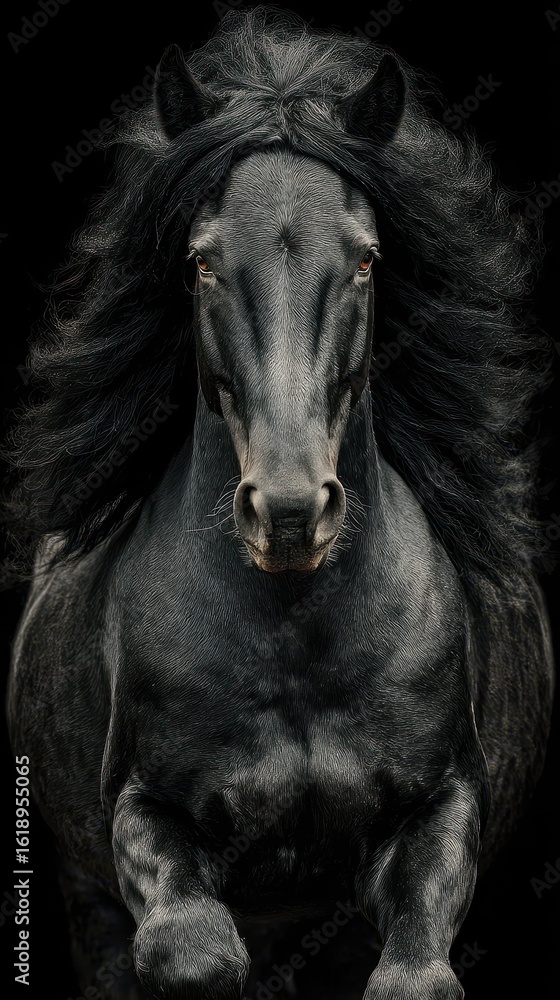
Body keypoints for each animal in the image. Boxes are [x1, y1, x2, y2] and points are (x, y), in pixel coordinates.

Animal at [6, 9, 555, 1000]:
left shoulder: (442, 809)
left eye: (368, 258)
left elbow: (412, 977)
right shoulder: (145, 813)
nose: (293, 513)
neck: (296, 633)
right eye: (201, 263)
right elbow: (194, 952)